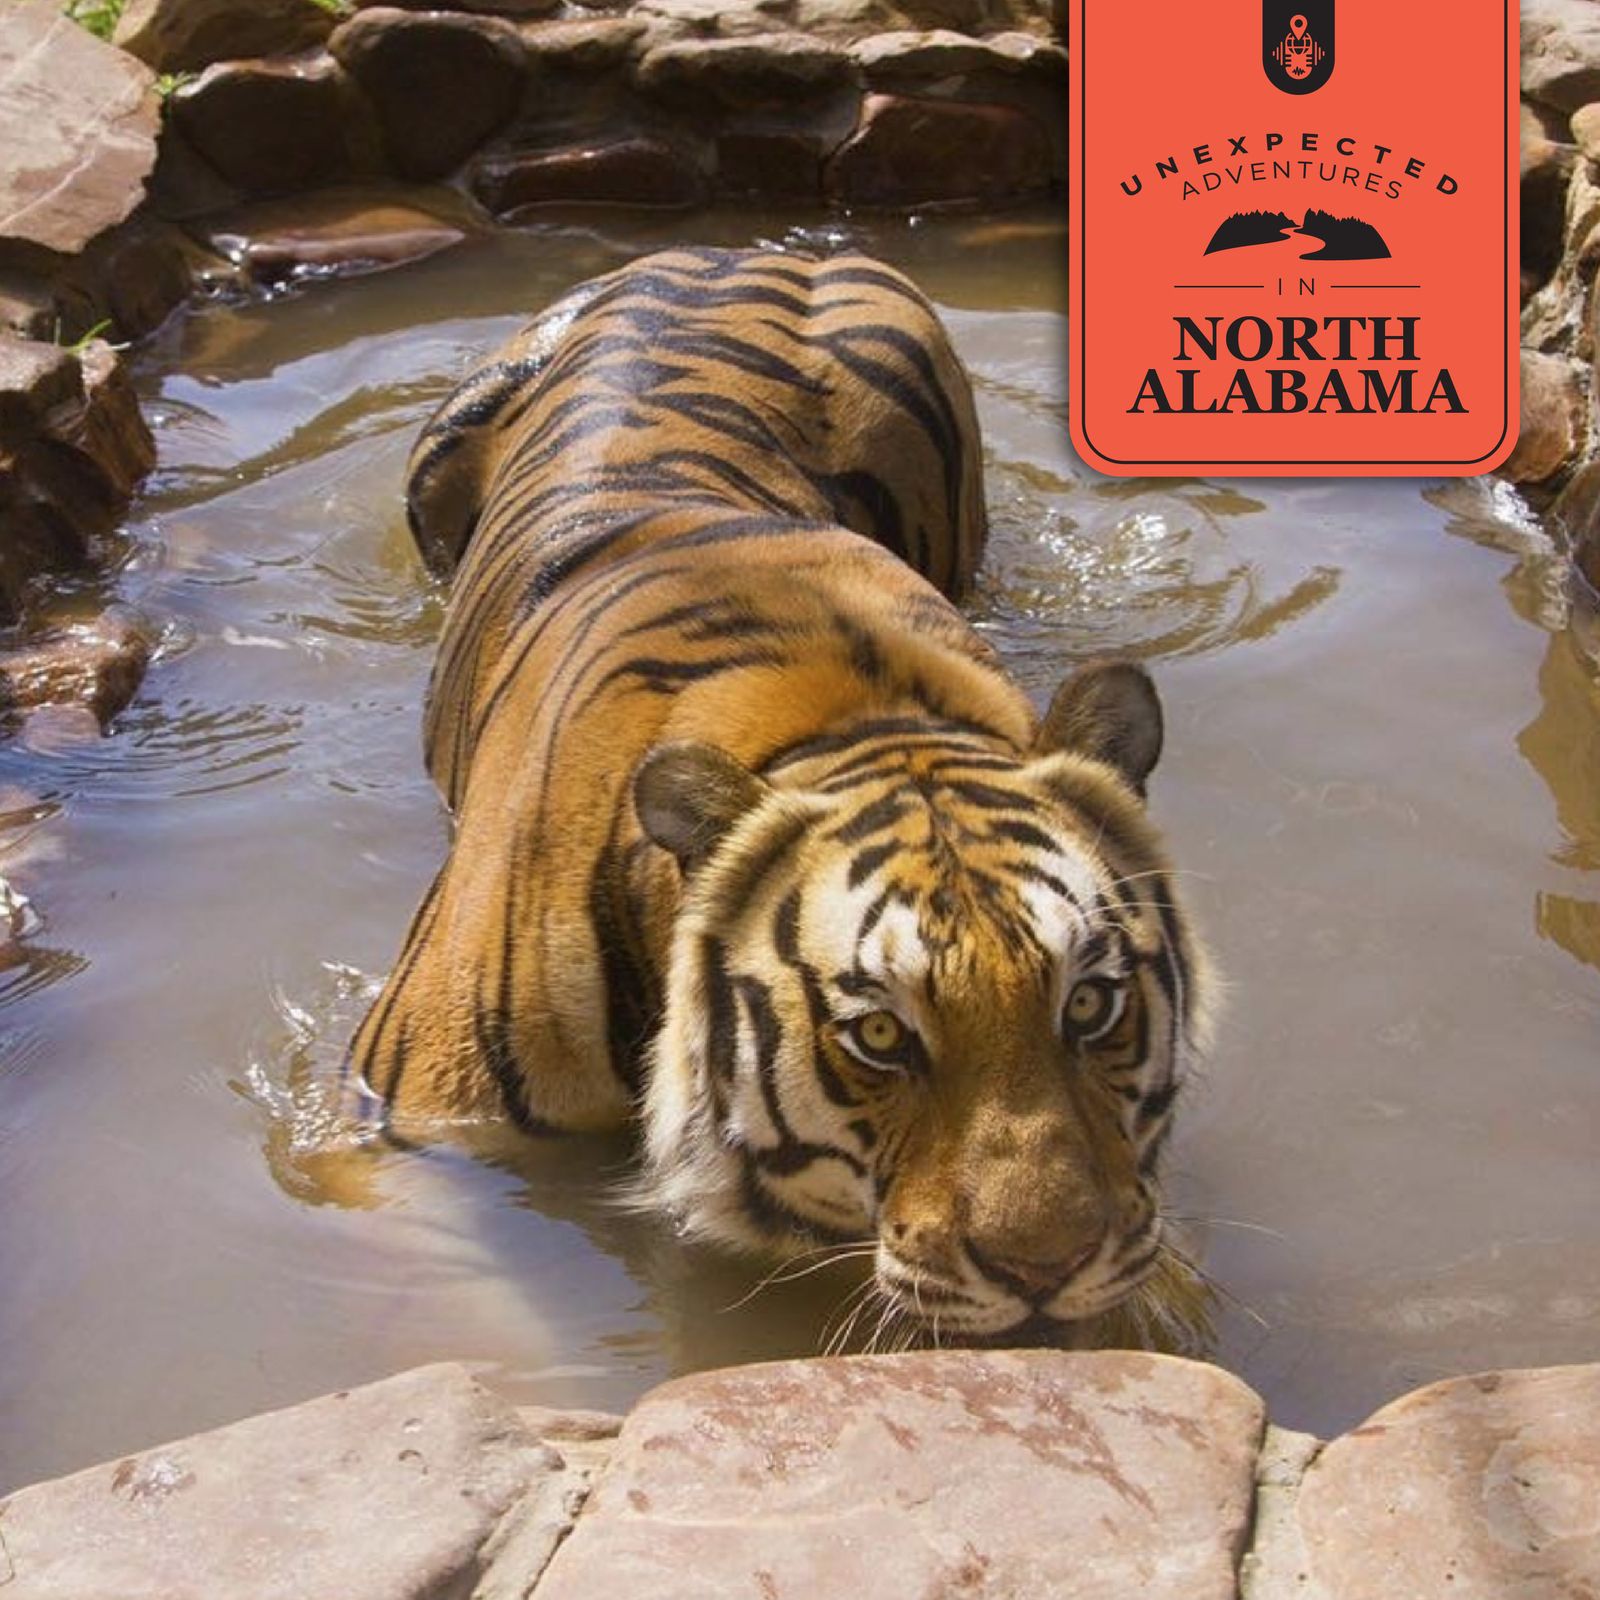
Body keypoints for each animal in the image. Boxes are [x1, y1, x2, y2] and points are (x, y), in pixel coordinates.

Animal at [340, 245, 1215, 1343]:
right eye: (879, 1035)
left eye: (1091, 1004)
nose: (1045, 1268)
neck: (859, 720)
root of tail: (751, 246)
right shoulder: (408, 1133)